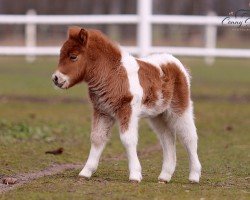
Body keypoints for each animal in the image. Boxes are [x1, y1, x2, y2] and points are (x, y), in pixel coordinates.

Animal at [52, 27, 201, 184]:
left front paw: (135, 175)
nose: (56, 78)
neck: (113, 74)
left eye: (73, 56)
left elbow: (128, 140)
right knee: (167, 139)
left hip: (180, 109)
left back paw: (194, 176)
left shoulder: (127, 110)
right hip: (158, 115)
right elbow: (97, 138)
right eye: (61, 54)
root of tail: (176, 63)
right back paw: (164, 177)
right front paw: (86, 172)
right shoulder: (102, 111)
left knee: (189, 137)